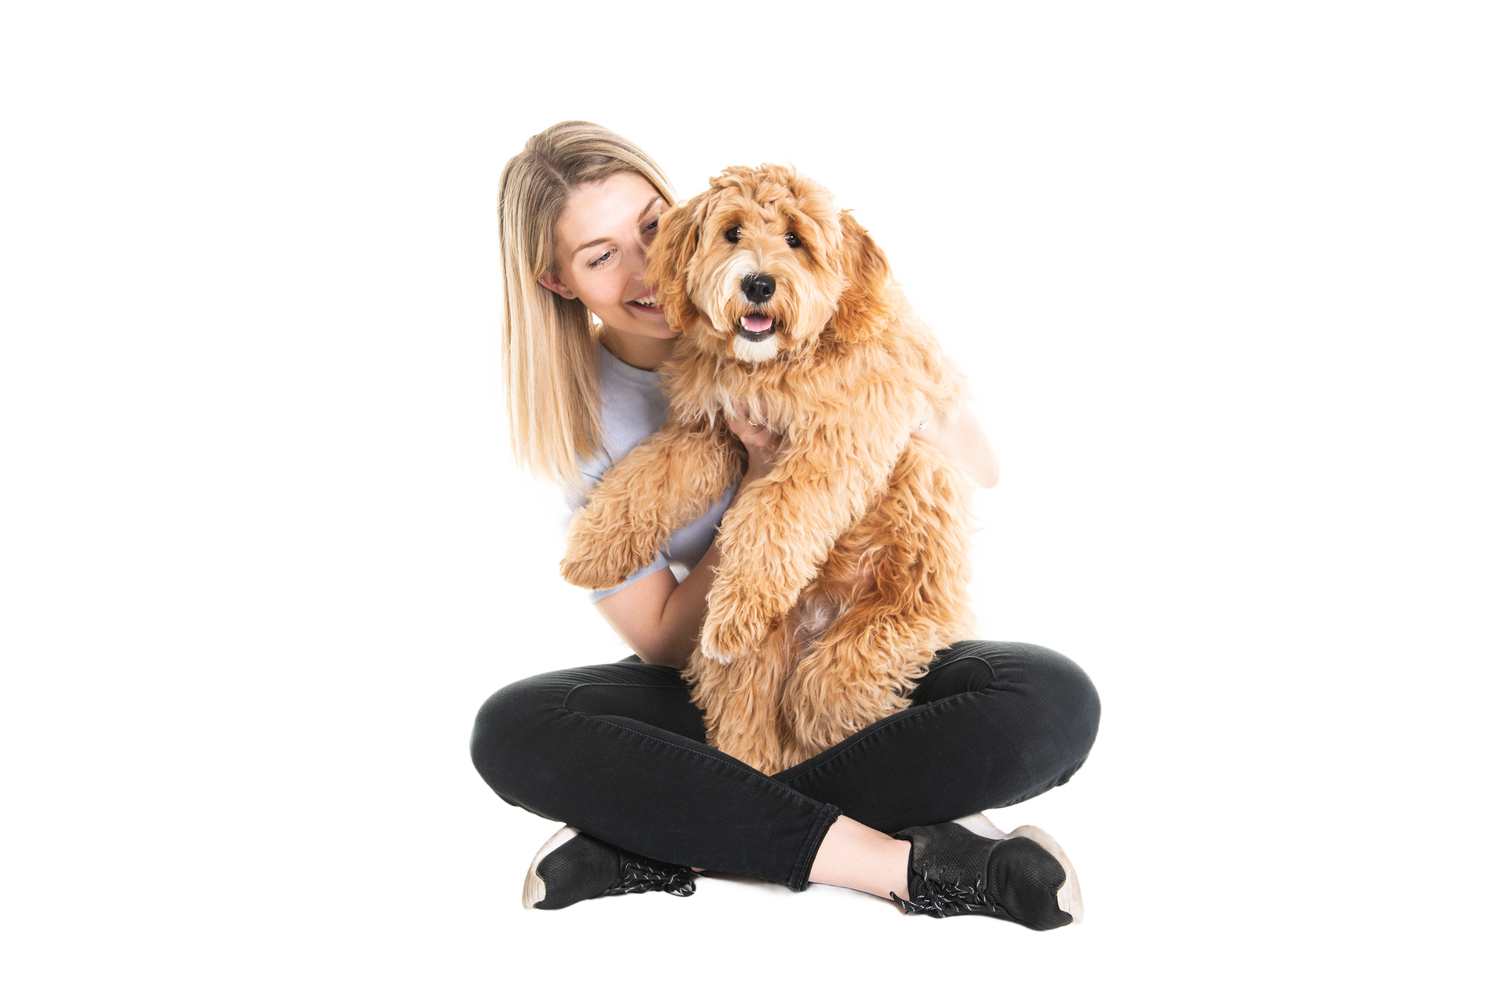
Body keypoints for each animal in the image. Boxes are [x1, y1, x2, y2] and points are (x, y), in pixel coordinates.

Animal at [558, 154, 1002, 774]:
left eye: (795, 239)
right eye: (732, 232)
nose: (758, 283)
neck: (774, 366)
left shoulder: (834, 444)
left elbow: (774, 511)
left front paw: (740, 600)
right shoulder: (708, 430)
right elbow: (651, 475)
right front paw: (590, 550)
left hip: (906, 613)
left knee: (829, 692)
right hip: (756, 663)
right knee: (747, 721)